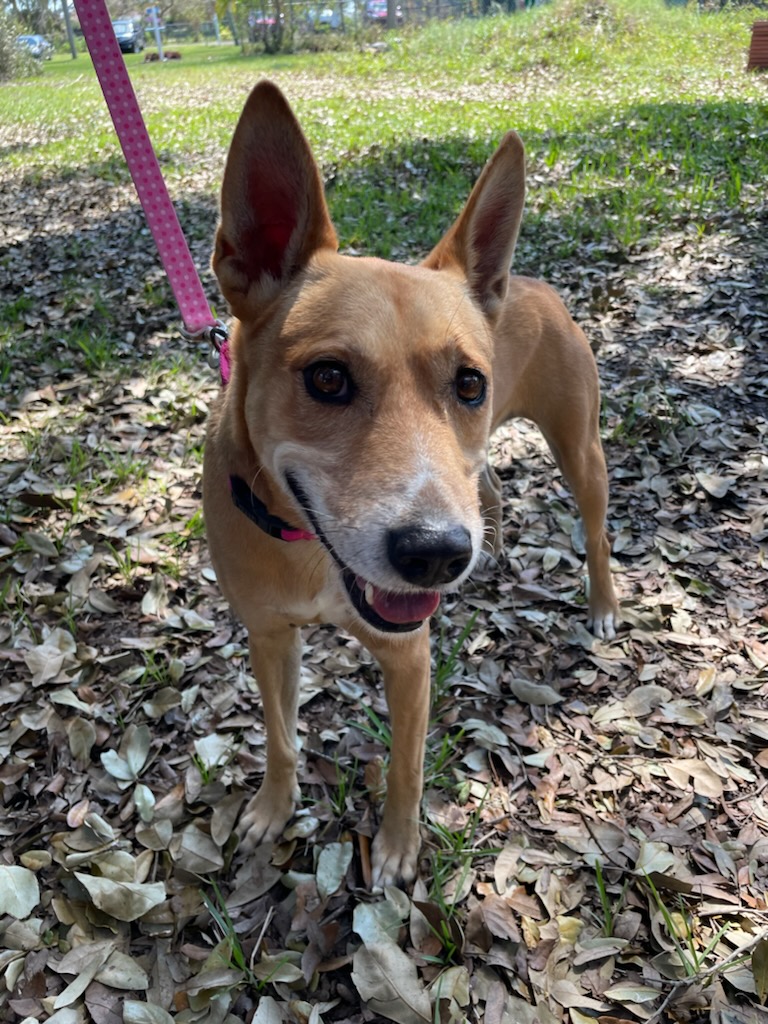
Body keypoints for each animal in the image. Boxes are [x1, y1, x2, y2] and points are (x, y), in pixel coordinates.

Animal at [202, 79, 618, 892]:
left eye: (469, 383)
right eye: (327, 377)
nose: (435, 555)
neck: (308, 551)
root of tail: (525, 281)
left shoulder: (408, 659)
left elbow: (405, 766)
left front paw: (396, 848)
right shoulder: (268, 636)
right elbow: (280, 736)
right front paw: (273, 807)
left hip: (578, 451)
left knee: (593, 526)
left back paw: (603, 603)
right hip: (474, 469)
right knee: (489, 488)